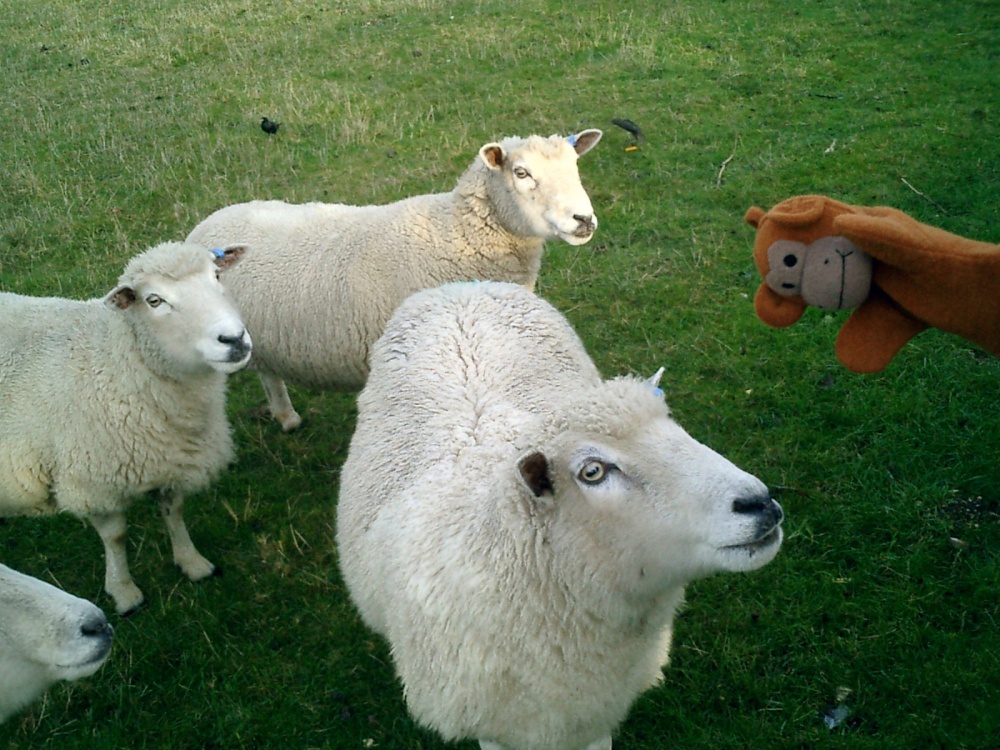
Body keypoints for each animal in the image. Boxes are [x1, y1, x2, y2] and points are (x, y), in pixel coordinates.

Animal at [0, 242, 252, 615]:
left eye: (217, 276)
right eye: (154, 300)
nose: (234, 339)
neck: (117, 361)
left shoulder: (171, 461)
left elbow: (173, 511)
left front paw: (192, 563)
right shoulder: (94, 481)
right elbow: (115, 536)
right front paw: (124, 592)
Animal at [186, 129, 603, 431]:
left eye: (575, 166)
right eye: (521, 173)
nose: (584, 220)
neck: (455, 236)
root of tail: (206, 225)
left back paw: (287, 417)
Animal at [336, 281, 785, 750]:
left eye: (674, 427)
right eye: (593, 472)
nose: (759, 502)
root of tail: (460, 288)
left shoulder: (594, 712)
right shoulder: (491, 722)